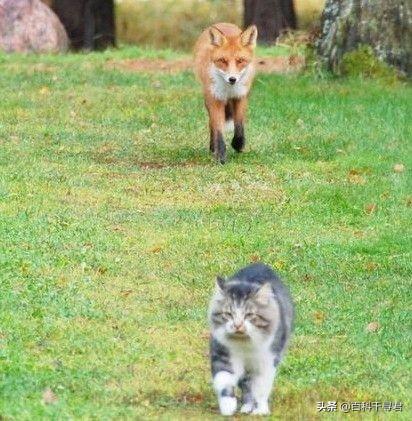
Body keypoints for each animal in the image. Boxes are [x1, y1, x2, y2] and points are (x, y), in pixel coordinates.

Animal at [194, 22, 258, 164]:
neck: (229, 89)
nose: (232, 79)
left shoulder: (241, 97)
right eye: (222, 60)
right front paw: (221, 156)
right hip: (208, 98)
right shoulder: (215, 99)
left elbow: (239, 125)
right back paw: (212, 148)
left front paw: (238, 144)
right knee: (211, 124)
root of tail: (223, 24)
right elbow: (218, 130)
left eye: (240, 61)